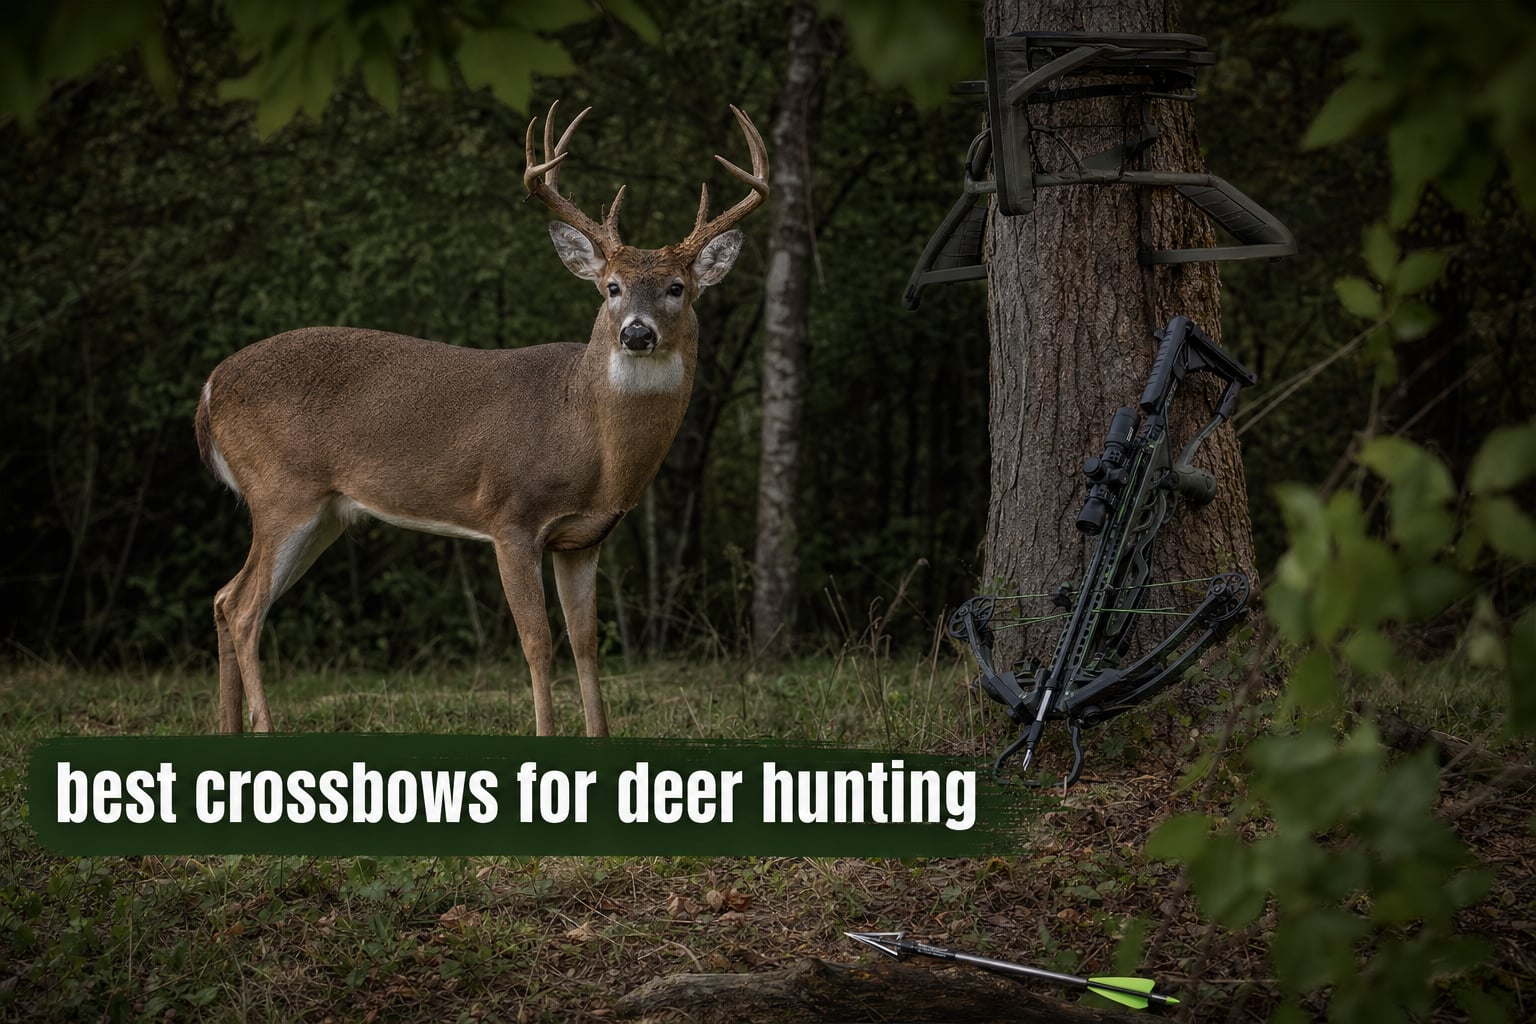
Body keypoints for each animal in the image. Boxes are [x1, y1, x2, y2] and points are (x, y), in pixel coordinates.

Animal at [194, 102, 768, 737]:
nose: (636, 333)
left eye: (677, 288)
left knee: (224, 597)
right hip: (282, 491)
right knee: (244, 607)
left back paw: (229, 728)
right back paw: (263, 727)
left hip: (324, 512)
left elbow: (587, 643)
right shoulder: (511, 517)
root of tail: (211, 387)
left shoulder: (583, 537)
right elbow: (538, 643)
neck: (589, 438)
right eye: (612, 287)